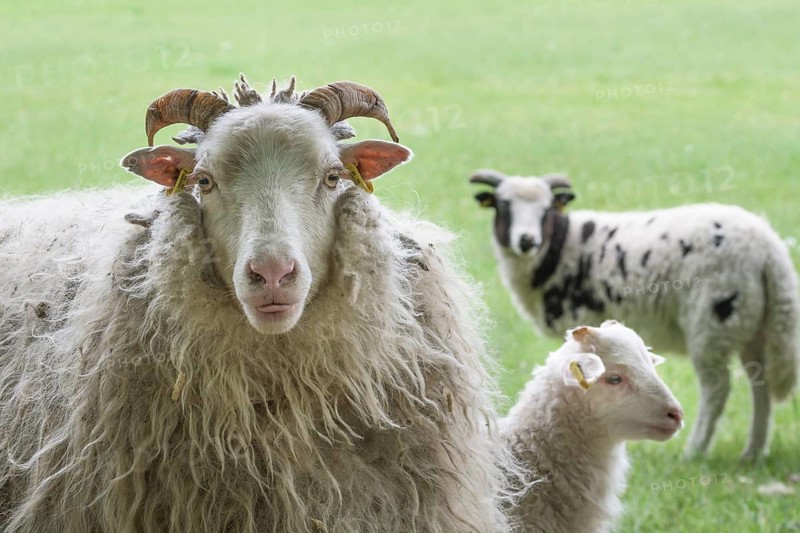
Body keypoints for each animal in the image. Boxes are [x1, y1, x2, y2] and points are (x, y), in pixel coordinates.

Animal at [470, 168, 800, 461]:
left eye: (546, 209)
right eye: (503, 205)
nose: (527, 241)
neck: (561, 247)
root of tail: (771, 251)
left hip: (713, 324)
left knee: (717, 389)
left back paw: (695, 451)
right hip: (753, 326)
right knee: (760, 384)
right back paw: (753, 452)